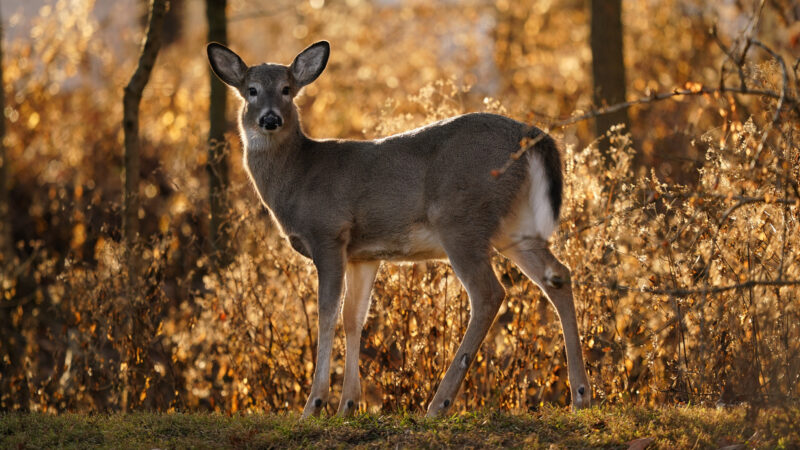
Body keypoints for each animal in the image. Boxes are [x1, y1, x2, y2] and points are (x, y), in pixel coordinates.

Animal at [206, 40, 591, 418]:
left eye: (287, 89)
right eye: (251, 90)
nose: (270, 118)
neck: (298, 177)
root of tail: (533, 135)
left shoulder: (328, 233)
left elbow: (326, 316)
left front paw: (314, 405)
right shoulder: (363, 254)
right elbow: (353, 317)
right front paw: (348, 405)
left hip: (460, 218)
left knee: (489, 293)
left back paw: (439, 404)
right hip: (514, 225)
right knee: (558, 275)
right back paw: (581, 394)